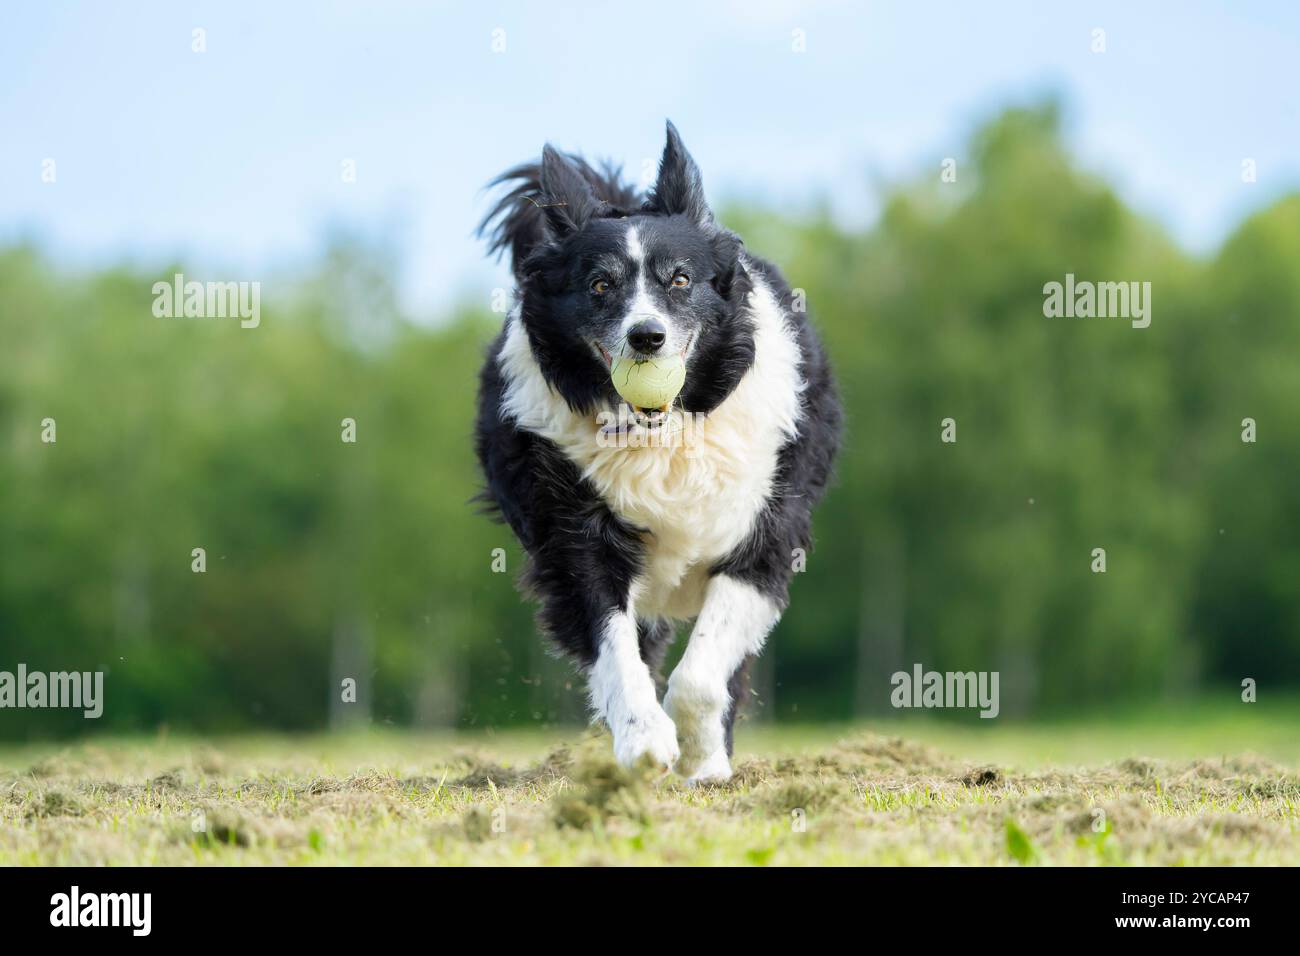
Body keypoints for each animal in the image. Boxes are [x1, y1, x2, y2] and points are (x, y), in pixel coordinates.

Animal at [478, 121, 842, 785]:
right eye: (599, 285)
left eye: (679, 279)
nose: (646, 337)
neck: (661, 433)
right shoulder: (575, 540)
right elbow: (617, 652)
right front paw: (645, 742)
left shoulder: (765, 537)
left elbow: (702, 675)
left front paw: (701, 756)